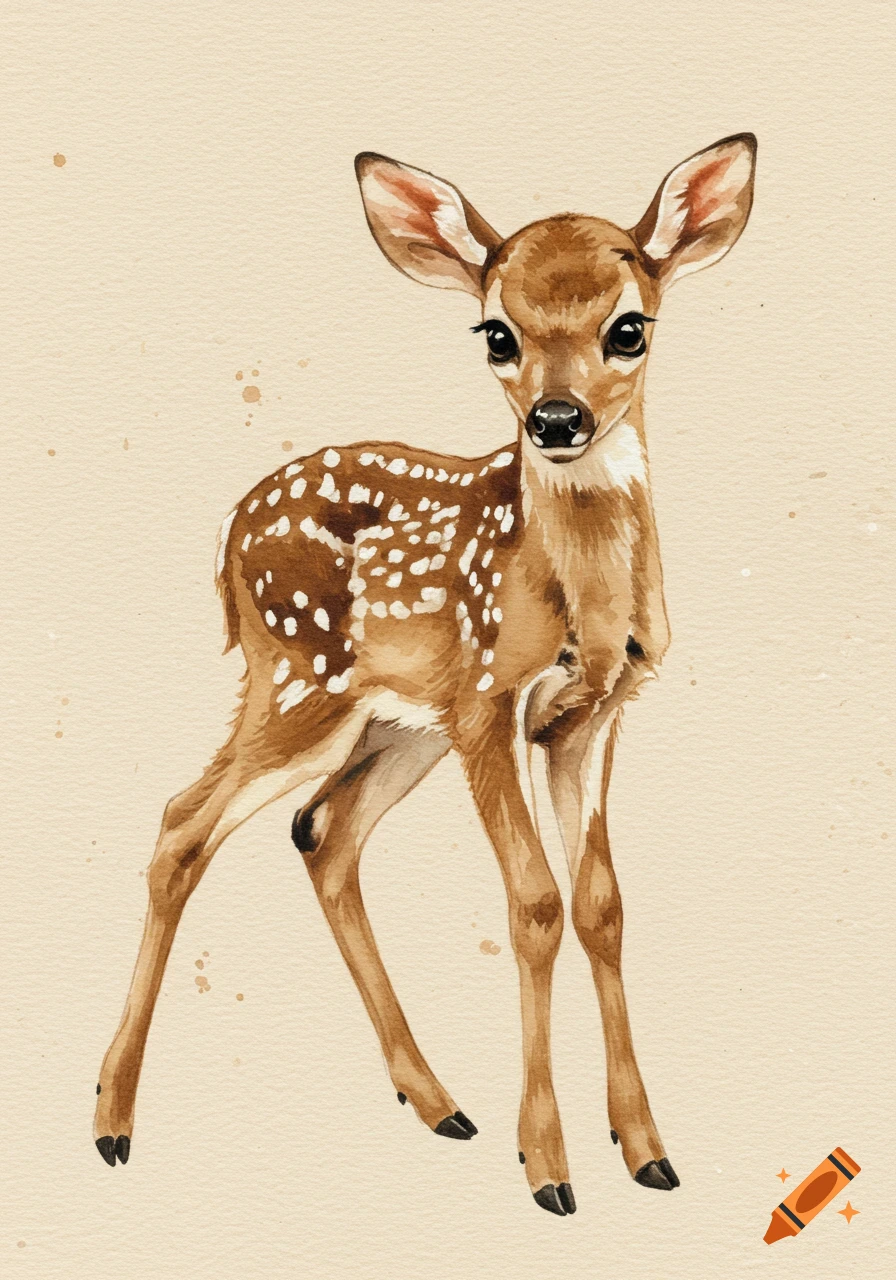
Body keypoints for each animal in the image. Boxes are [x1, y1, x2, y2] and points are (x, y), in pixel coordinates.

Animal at [94, 134, 756, 1216]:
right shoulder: (490, 701)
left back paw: (438, 1100)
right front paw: (549, 1169)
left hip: (397, 722)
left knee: (320, 829)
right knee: (184, 823)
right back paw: (111, 1121)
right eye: (496, 332)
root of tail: (228, 542)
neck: (578, 594)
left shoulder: (590, 716)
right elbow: (534, 904)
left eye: (628, 326)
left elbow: (601, 904)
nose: (556, 419)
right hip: (303, 678)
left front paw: (648, 1150)